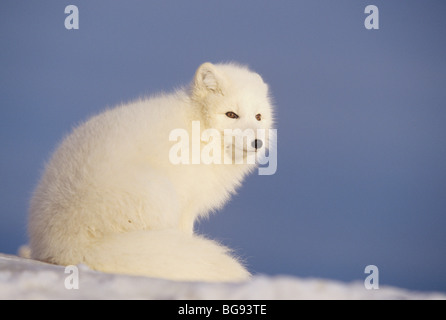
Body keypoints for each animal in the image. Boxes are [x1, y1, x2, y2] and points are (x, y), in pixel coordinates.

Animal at [28, 61, 276, 282]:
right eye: (231, 114)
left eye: (258, 117)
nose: (257, 142)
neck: (198, 130)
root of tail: (66, 243)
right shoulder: (185, 204)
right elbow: (186, 234)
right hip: (161, 192)